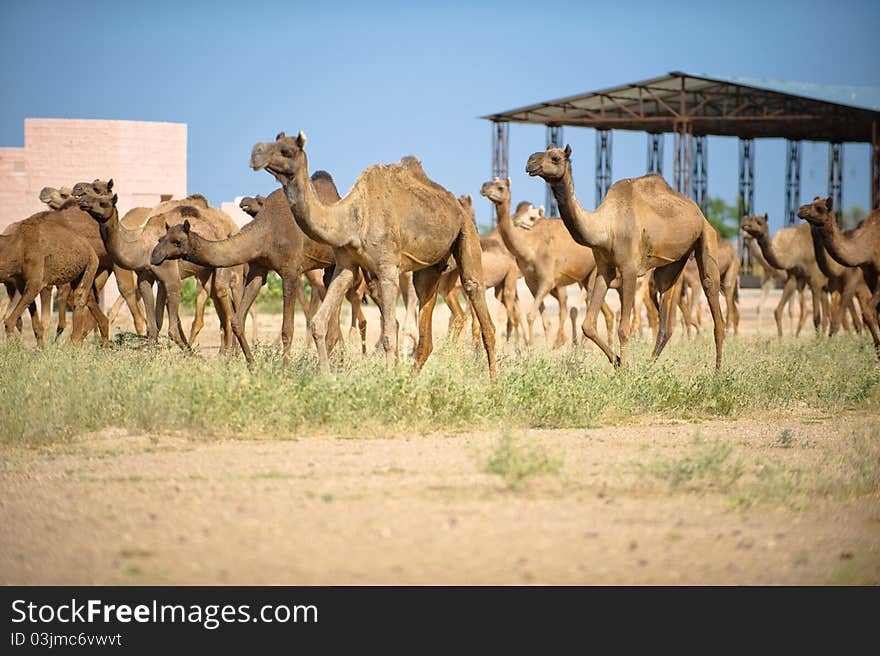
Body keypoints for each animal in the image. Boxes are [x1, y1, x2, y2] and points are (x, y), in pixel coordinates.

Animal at [72, 179, 239, 354]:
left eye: (102, 200)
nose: (81, 200)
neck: (142, 247)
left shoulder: (171, 279)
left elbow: (171, 328)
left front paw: (190, 354)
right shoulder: (146, 278)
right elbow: (153, 325)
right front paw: (151, 354)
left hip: (221, 263)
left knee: (222, 294)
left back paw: (228, 352)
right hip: (205, 272)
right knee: (216, 297)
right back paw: (227, 351)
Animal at [249, 129, 496, 374]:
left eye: (287, 150)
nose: (255, 153)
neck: (352, 218)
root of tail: (456, 203)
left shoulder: (388, 269)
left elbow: (388, 334)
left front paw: (388, 378)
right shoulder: (346, 264)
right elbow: (318, 322)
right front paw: (326, 376)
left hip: (467, 233)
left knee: (477, 297)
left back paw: (492, 380)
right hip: (429, 267)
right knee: (426, 320)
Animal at [478, 177, 616, 348]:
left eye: (500, 187)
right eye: (491, 181)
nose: (484, 187)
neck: (529, 246)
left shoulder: (548, 279)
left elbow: (531, 315)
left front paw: (532, 347)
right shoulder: (531, 281)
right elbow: (543, 319)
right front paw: (542, 346)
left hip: (595, 272)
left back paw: (582, 346)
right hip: (584, 278)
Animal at [528, 145, 720, 368]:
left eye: (555, 157)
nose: (530, 161)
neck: (606, 227)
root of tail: (698, 212)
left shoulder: (629, 270)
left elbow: (623, 329)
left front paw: (624, 368)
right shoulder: (604, 269)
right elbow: (588, 325)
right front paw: (618, 361)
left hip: (706, 236)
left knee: (712, 297)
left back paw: (717, 371)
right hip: (672, 264)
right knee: (666, 317)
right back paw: (649, 366)